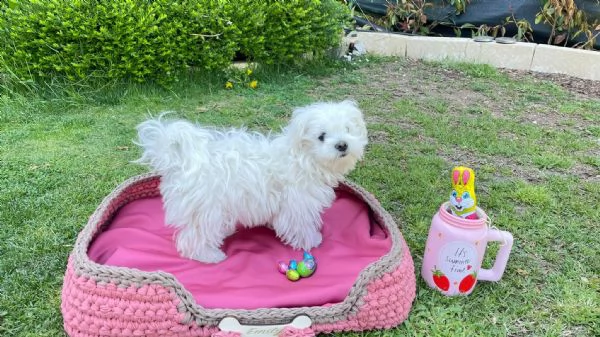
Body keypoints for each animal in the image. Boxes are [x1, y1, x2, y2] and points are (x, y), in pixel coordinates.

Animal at [136, 100, 368, 262]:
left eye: (347, 130)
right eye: (321, 136)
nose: (342, 145)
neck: (303, 157)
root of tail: (182, 162)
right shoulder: (297, 204)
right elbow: (299, 225)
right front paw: (311, 241)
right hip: (208, 209)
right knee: (193, 238)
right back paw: (210, 256)